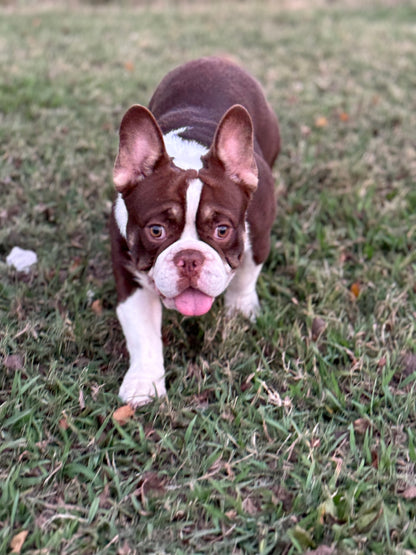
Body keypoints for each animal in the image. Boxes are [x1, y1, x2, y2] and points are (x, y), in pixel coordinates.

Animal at [109, 56, 280, 406]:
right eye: (156, 231)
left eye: (222, 230)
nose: (189, 258)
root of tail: (216, 58)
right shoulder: (130, 275)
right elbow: (142, 333)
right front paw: (144, 383)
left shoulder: (257, 238)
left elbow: (245, 276)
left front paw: (241, 311)